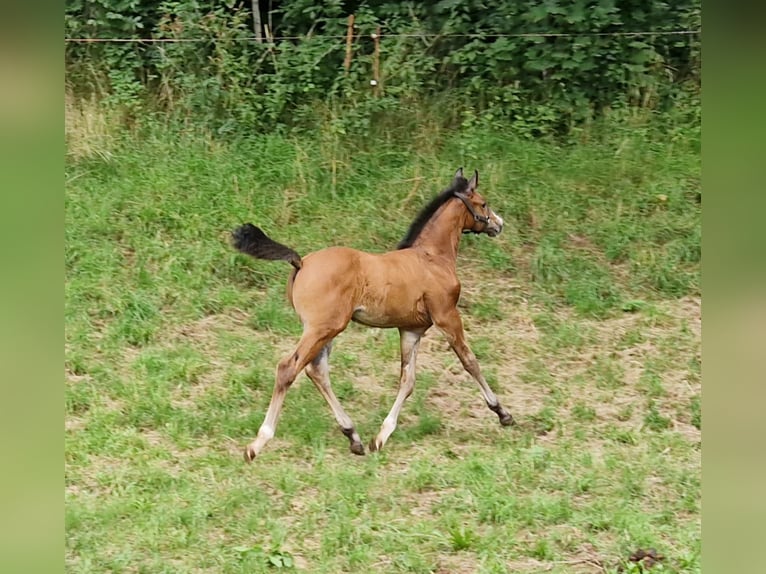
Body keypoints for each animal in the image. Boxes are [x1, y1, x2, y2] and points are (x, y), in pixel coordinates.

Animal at [231, 168, 514, 461]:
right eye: (483, 203)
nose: (499, 224)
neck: (432, 257)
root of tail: (301, 261)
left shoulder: (411, 329)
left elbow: (407, 381)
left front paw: (380, 437)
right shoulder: (447, 316)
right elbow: (470, 362)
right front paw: (503, 413)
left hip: (325, 331)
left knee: (317, 371)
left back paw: (353, 436)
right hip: (322, 328)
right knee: (289, 368)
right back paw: (257, 443)